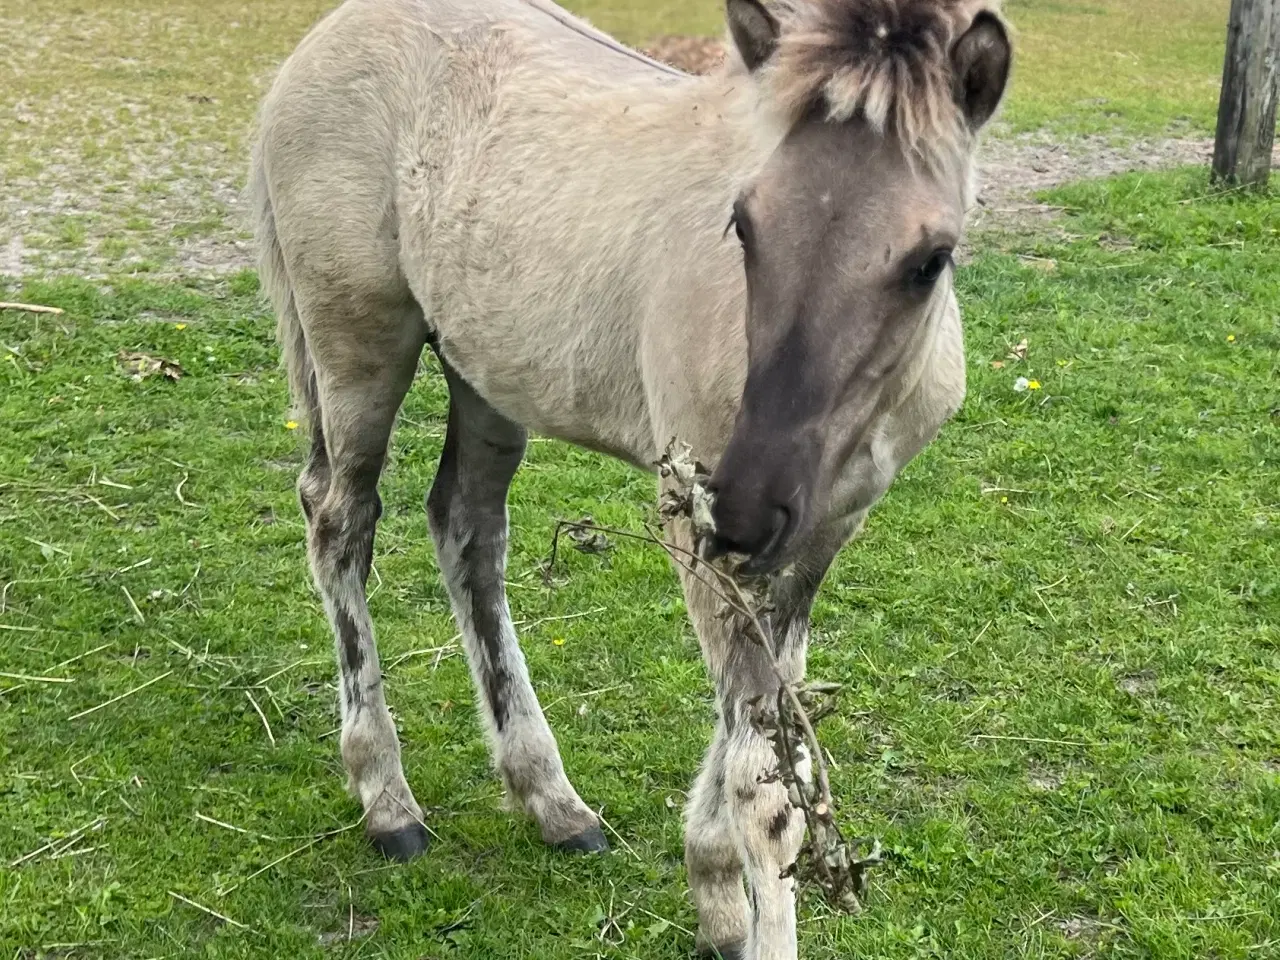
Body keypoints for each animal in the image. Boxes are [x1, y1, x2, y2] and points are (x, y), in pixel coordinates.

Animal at [249, 1, 1008, 960]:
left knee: (466, 529)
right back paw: (388, 801)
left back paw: (552, 802)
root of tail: (322, 40)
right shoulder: (701, 528)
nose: (747, 505)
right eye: (743, 225)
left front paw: (713, 891)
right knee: (339, 519)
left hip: (486, 370)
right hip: (356, 340)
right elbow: (766, 786)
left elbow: (763, 734)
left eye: (930, 258)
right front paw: (739, 904)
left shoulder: (819, 533)